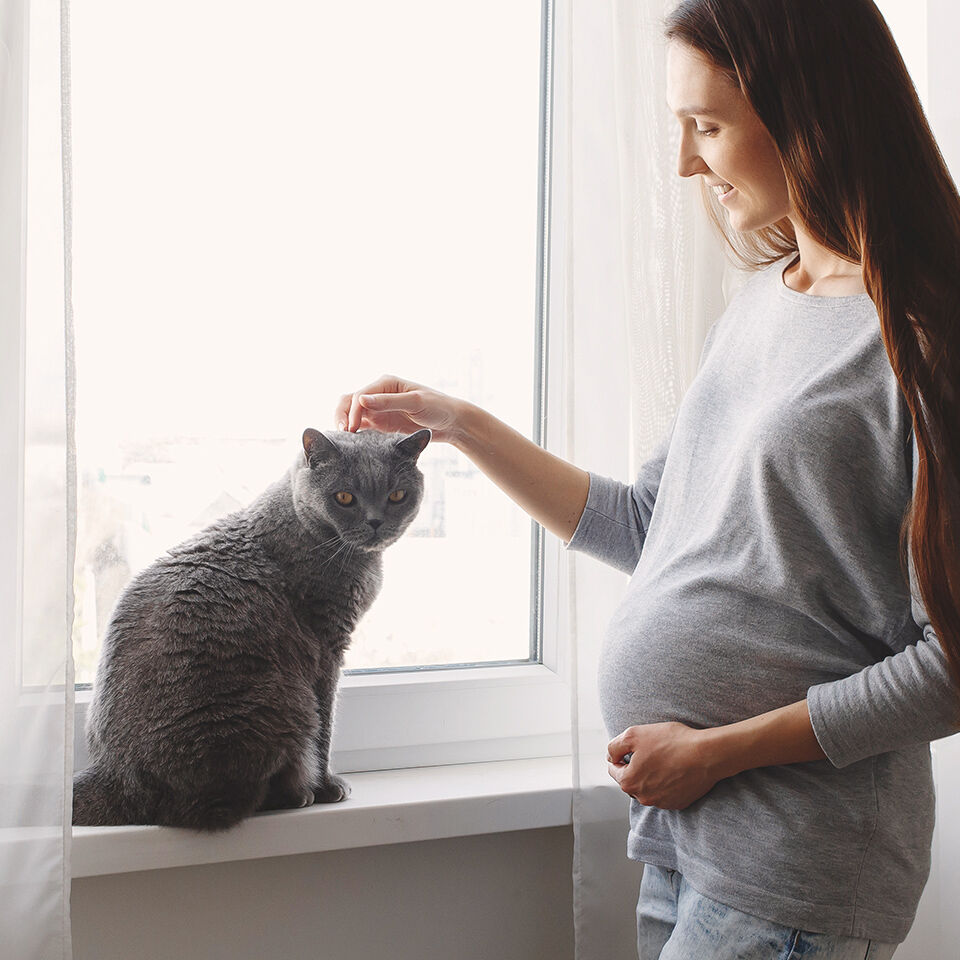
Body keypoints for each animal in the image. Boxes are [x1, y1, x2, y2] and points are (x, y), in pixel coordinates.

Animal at [67, 424, 428, 828]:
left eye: (397, 495)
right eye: (345, 497)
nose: (376, 522)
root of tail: (114, 772)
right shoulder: (326, 645)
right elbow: (326, 726)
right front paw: (326, 786)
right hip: (285, 704)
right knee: (218, 804)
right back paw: (297, 794)